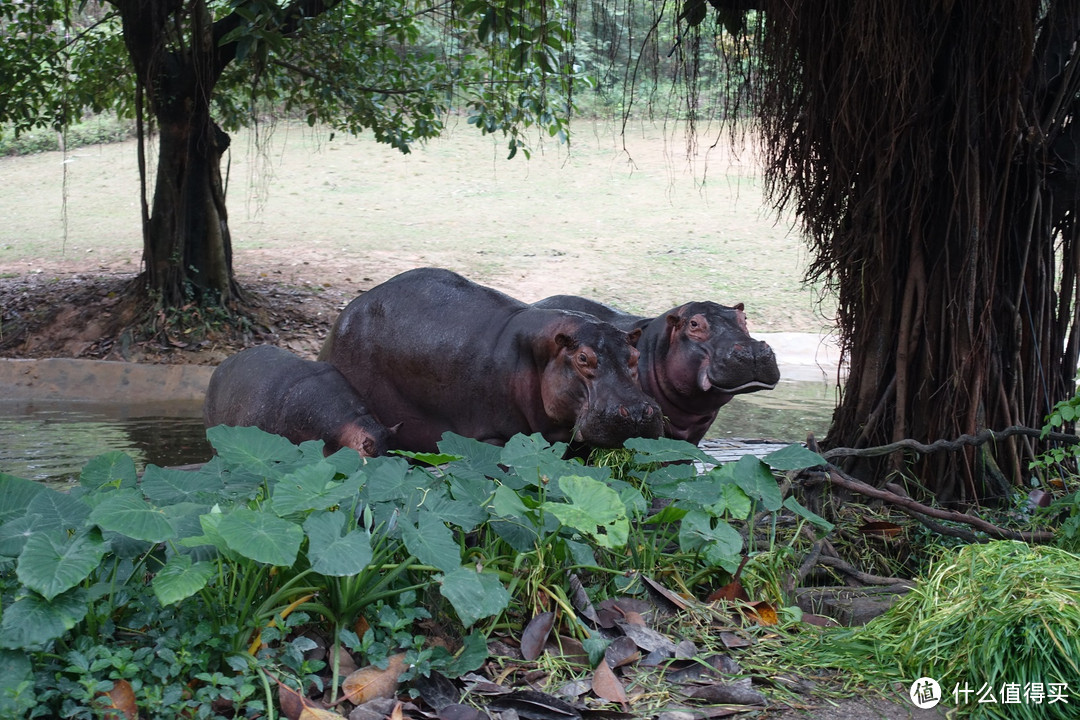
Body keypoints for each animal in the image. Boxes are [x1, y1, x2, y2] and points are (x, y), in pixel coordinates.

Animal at [315, 267, 660, 453]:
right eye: (583, 358)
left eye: (635, 356)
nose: (637, 413)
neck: (542, 354)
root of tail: (347, 311)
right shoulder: (493, 439)